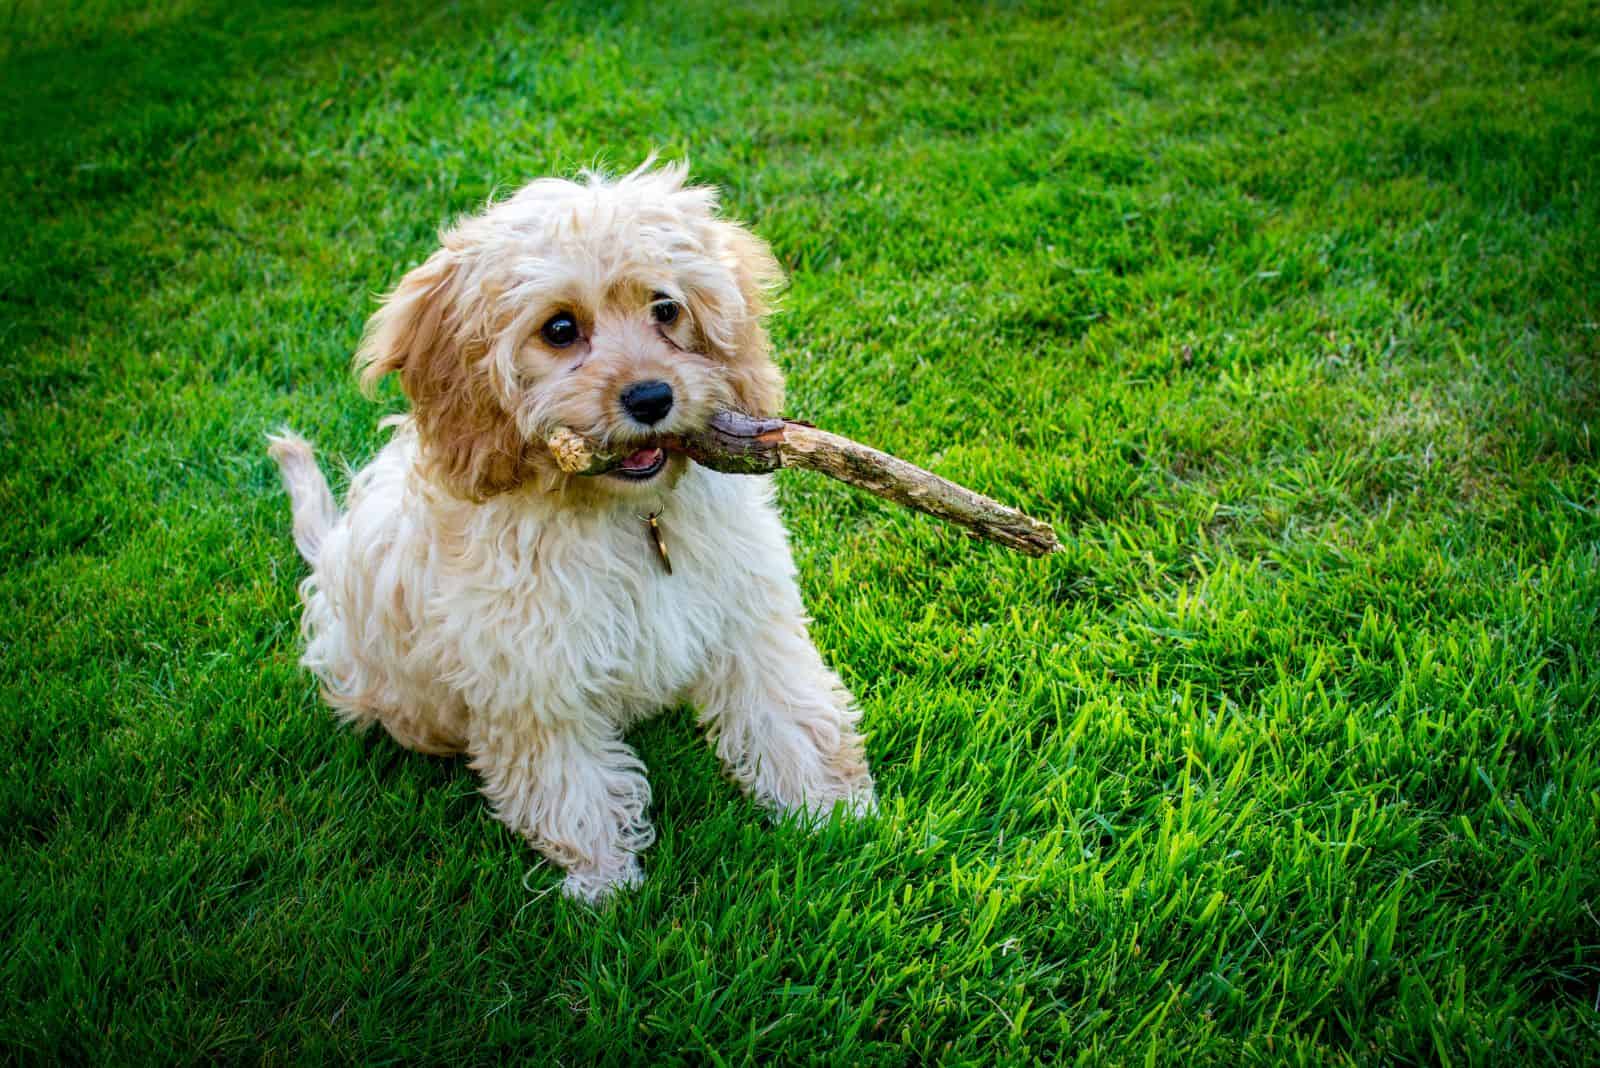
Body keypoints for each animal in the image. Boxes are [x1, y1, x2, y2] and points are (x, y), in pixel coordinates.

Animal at [272, 164, 876, 901]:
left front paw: (832, 812)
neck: (631, 516)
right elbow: (569, 784)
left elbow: (787, 707)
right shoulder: (531, 679)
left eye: (665, 309)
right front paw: (605, 884)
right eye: (560, 328)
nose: (651, 398)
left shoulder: (744, 612)